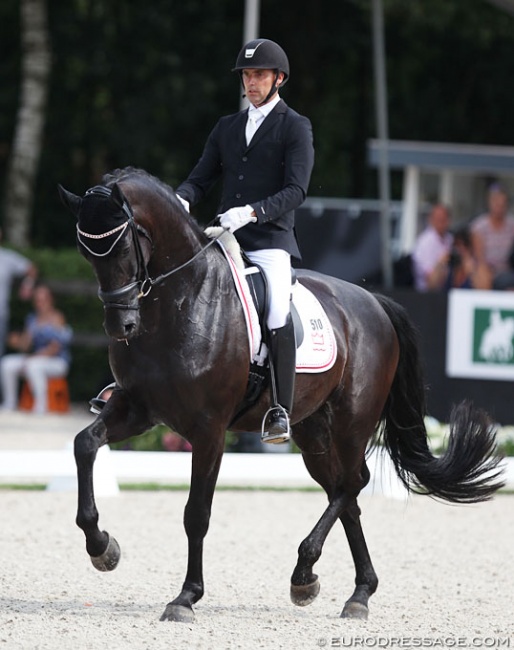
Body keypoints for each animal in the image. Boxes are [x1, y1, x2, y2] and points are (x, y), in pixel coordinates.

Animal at [59, 168, 500, 624]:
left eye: (125, 246)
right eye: (87, 253)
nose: (121, 327)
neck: (180, 302)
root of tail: (374, 302)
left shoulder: (209, 430)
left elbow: (197, 514)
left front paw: (185, 597)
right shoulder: (138, 408)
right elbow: (84, 444)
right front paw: (102, 547)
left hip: (352, 422)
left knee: (354, 482)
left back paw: (308, 572)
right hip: (313, 434)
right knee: (345, 492)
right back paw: (354, 591)